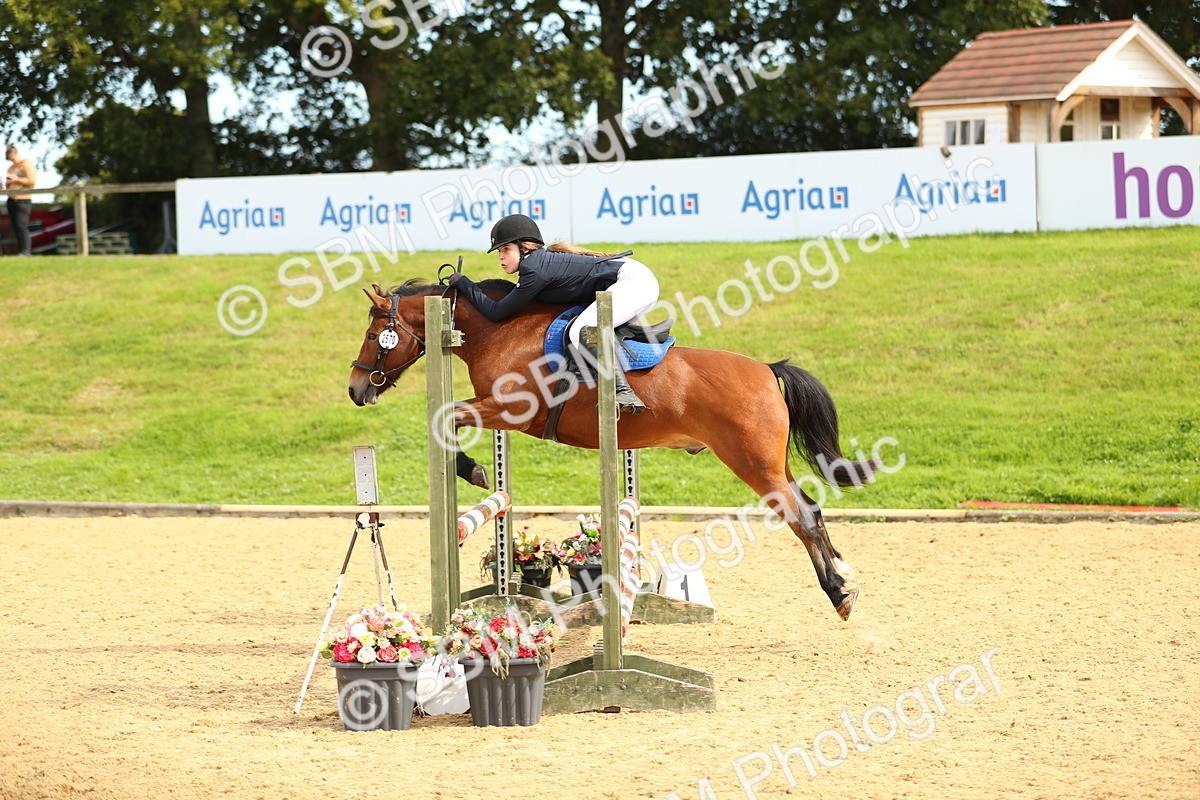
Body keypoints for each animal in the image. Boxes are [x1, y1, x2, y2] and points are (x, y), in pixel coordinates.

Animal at [347, 279, 874, 620]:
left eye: (374, 335)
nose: (356, 390)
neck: (497, 330)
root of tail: (767, 369)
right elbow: (449, 419)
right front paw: (478, 471)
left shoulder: (508, 411)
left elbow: (446, 417)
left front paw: (473, 469)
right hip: (771, 462)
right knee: (811, 507)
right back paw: (845, 573)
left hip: (753, 464)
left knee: (800, 517)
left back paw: (838, 595)